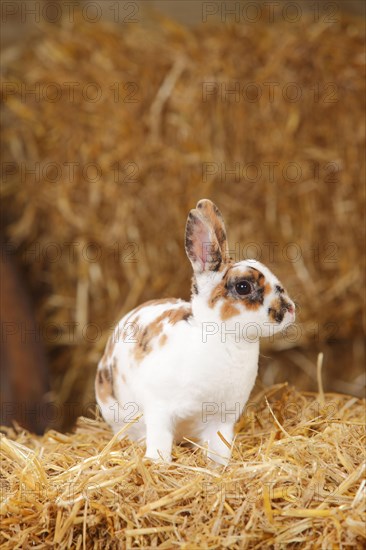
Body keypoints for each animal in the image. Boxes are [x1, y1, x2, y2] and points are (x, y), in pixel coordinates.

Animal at [95, 198, 294, 466]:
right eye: (243, 287)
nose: (290, 309)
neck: (224, 339)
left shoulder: (222, 420)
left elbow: (220, 448)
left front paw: (219, 468)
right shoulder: (159, 411)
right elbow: (159, 442)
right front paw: (158, 464)